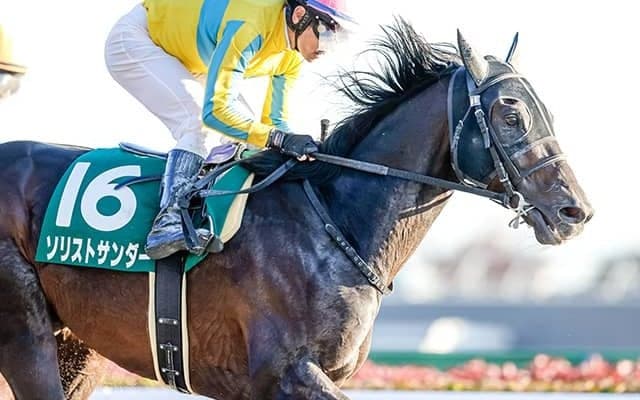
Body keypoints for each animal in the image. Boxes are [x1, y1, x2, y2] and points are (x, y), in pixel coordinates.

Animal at [0, 19, 592, 400]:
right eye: (511, 114)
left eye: (548, 112)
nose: (575, 212)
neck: (335, 223)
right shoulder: (283, 374)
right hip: (26, 333)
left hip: (77, 347)